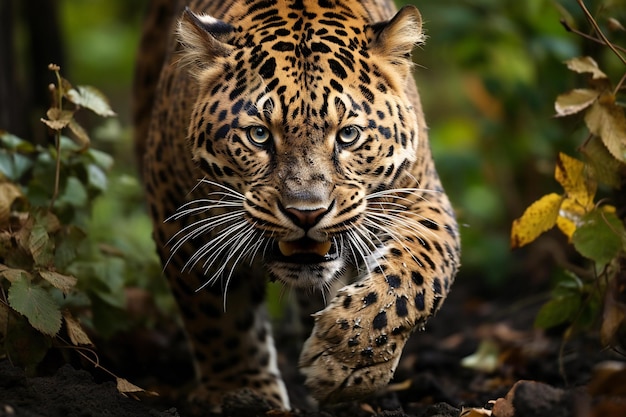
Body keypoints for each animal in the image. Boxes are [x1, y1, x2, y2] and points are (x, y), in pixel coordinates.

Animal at [133, 0, 458, 410]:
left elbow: (413, 279)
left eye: (348, 135)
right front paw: (240, 391)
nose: (307, 213)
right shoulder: (180, 217)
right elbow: (217, 319)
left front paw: (349, 363)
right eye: (259, 135)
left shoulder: (423, 199)